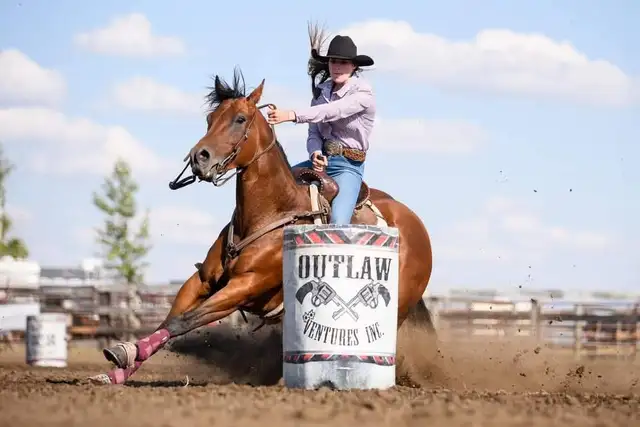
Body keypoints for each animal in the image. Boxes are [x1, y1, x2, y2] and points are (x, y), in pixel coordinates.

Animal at [88, 69, 435, 386]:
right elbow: (168, 321)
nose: (199, 157)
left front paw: (125, 354)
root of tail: (415, 225)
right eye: (210, 118)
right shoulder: (202, 280)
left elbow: (182, 323)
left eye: (240, 119)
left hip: (397, 307)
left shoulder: (245, 285)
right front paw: (118, 364)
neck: (269, 214)